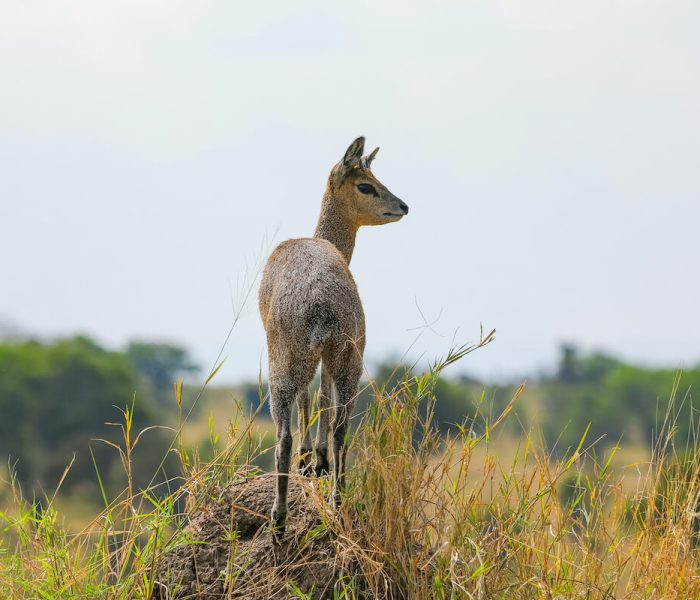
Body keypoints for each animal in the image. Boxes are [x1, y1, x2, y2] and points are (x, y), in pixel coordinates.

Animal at [260, 138, 408, 536]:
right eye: (366, 185)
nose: (403, 206)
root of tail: (321, 302)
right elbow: (323, 402)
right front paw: (318, 462)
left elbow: (313, 400)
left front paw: (312, 459)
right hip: (348, 360)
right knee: (342, 427)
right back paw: (337, 498)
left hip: (288, 363)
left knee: (284, 433)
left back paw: (279, 518)